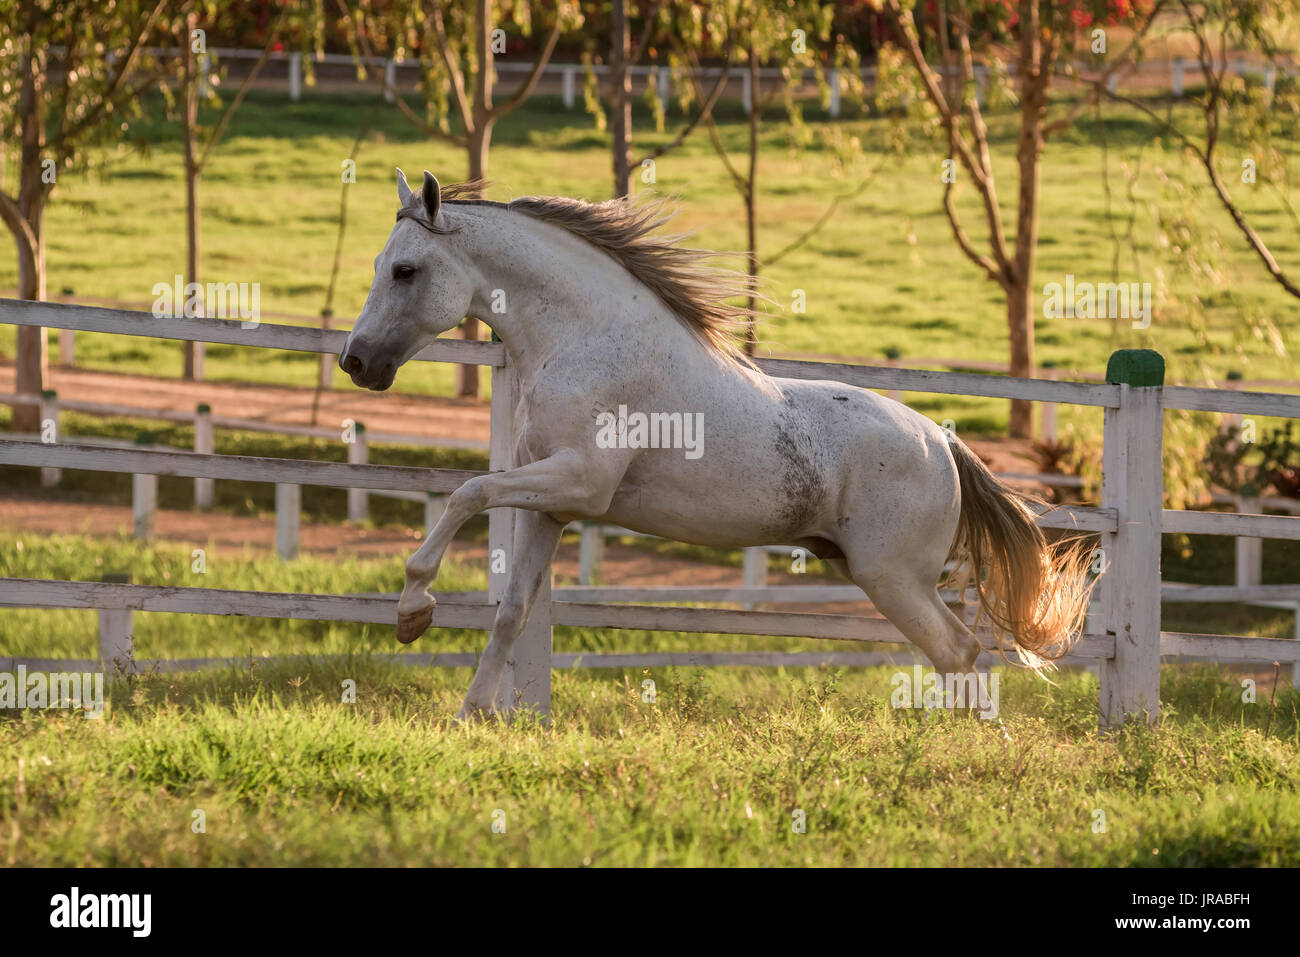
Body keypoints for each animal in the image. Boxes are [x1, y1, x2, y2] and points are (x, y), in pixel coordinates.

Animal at [340, 170, 1092, 717]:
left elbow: (467, 492)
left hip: (892, 576)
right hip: (879, 571)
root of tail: (944, 444)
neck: (584, 338)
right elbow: (511, 612)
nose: (355, 361)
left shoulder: (580, 482)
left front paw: (412, 610)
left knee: (958, 649)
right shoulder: (551, 506)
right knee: (957, 652)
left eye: (405, 270)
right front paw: (471, 715)